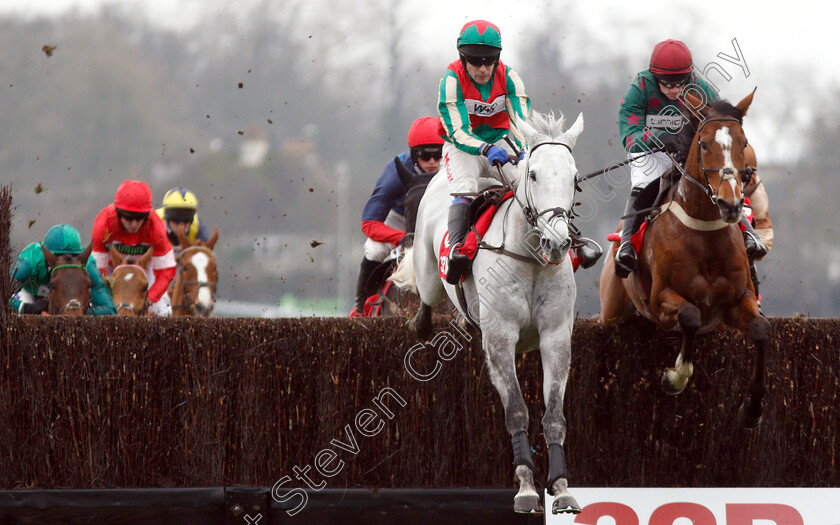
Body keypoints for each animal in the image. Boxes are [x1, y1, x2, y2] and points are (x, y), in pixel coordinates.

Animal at [394, 109, 584, 512]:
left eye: (574, 178)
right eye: (533, 174)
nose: (557, 242)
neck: (530, 259)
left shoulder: (556, 337)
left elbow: (554, 416)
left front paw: (560, 487)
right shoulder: (500, 338)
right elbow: (516, 410)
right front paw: (526, 488)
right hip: (430, 269)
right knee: (427, 294)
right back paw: (421, 322)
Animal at [600, 89, 772, 426]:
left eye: (743, 141)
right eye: (703, 143)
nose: (731, 205)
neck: (705, 234)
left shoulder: (737, 301)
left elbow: (760, 330)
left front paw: (753, 408)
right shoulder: (661, 300)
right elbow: (691, 315)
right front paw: (675, 377)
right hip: (611, 313)